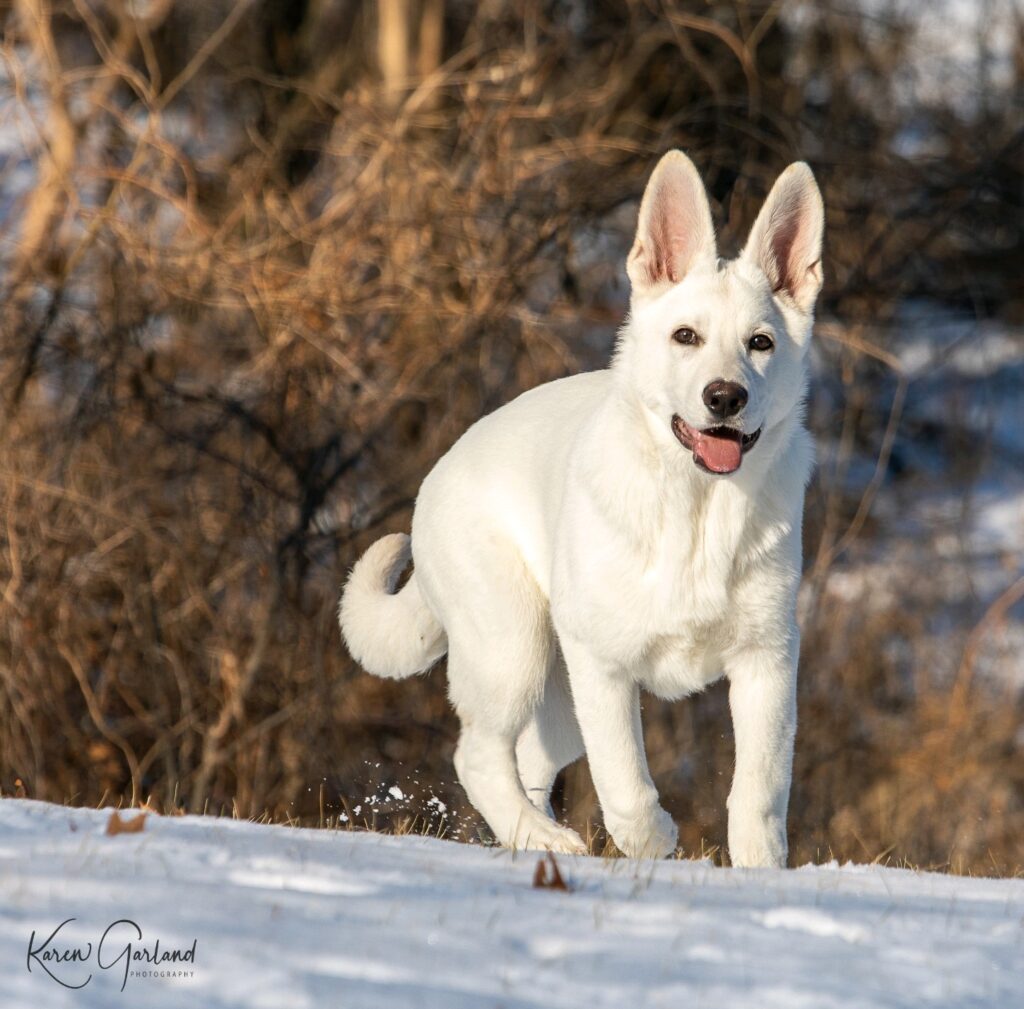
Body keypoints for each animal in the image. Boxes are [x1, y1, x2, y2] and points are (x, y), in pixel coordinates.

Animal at [342, 149, 823, 864]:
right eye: (686, 336)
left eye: (760, 343)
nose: (725, 397)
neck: (696, 511)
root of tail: (441, 469)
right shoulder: (602, 663)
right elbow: (625, 779)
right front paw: (653, 842)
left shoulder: (767, 661)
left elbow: (759, 792)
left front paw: (760, 873)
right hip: (516, 649)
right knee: (478, 755)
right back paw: (548, 840)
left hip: (557, 700)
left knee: (527, 762)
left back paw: (536, 840)